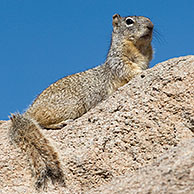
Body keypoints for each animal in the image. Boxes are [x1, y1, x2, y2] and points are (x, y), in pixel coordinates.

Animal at [8, 14, 153, 189]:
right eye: (129, 21)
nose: (151, 26)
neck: (140, 50)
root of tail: (28, 112)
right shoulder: (119, 63)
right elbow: (130, 70)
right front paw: (141, 72)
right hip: (70, 106)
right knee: (41, 122)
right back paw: (61, 123)